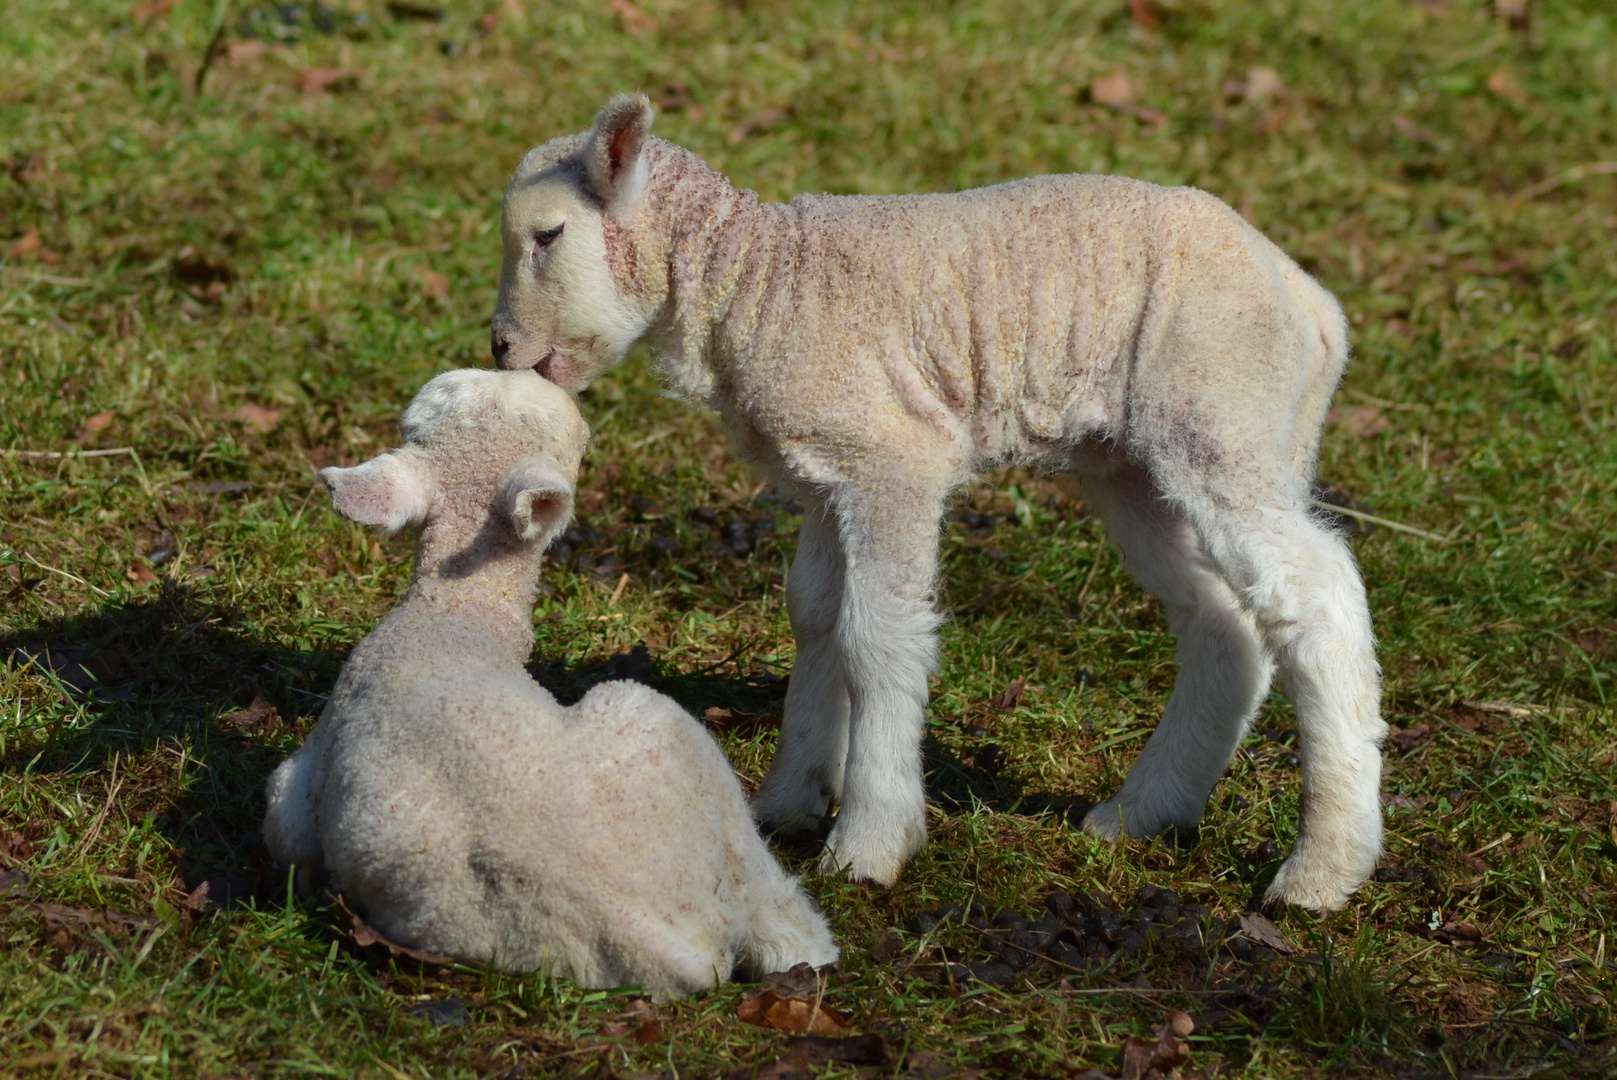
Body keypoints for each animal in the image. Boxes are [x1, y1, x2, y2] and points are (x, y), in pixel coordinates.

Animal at [485, 97, 1384, 918]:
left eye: (547, 235)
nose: (498, 345)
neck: (755, 285)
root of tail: (1313, 305)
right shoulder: (828, 470)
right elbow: (815, 616)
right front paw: (788, 799)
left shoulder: (894, 461)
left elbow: (877, 635)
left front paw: (868, 844)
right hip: (1139, 460)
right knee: (1220, 622)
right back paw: (1142, 813)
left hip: (1220, 411)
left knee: (1316, 594)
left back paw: (1320, 871)